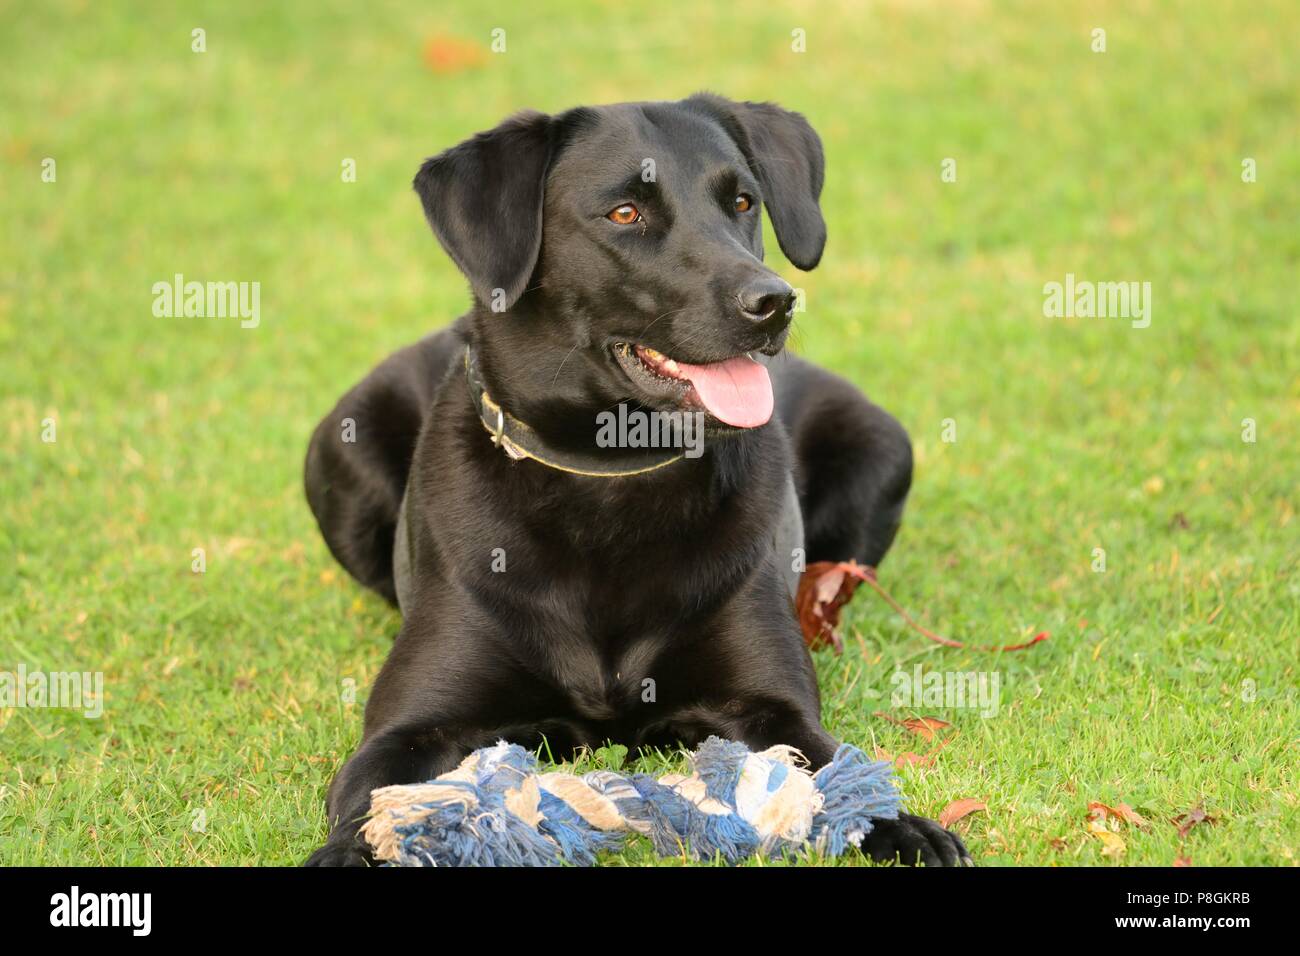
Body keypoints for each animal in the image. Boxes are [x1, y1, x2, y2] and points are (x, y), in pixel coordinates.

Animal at [304, 91, 972, 868]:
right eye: (625, 213)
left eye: (741, 202)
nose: (774, 302)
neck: (610, 473)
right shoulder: (411, 726)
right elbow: (373, 803)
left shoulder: (771, 706)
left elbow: (838, 772)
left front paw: (903, 828)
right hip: (340, 451)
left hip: (881, 448)